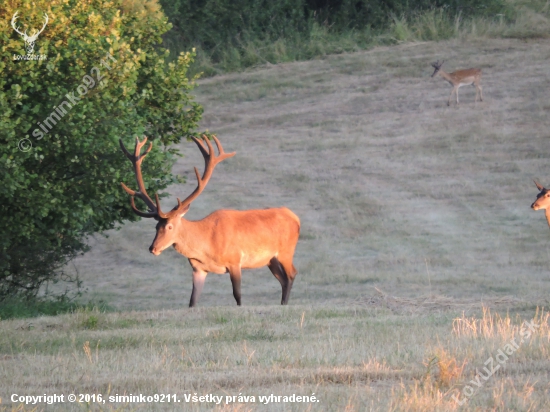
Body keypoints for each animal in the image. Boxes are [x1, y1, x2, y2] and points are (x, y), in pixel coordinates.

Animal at [121, 135, 302, 306]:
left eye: (170, 226)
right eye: (156, 226)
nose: (153, 248)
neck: (207, 245)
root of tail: (295, 217)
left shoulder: (235, 260)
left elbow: (238, 295)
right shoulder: (198, 269)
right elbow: (192, 301)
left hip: (286, 251)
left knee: (292, 274)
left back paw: (284, 302)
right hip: (270, 259)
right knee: (283, 279)